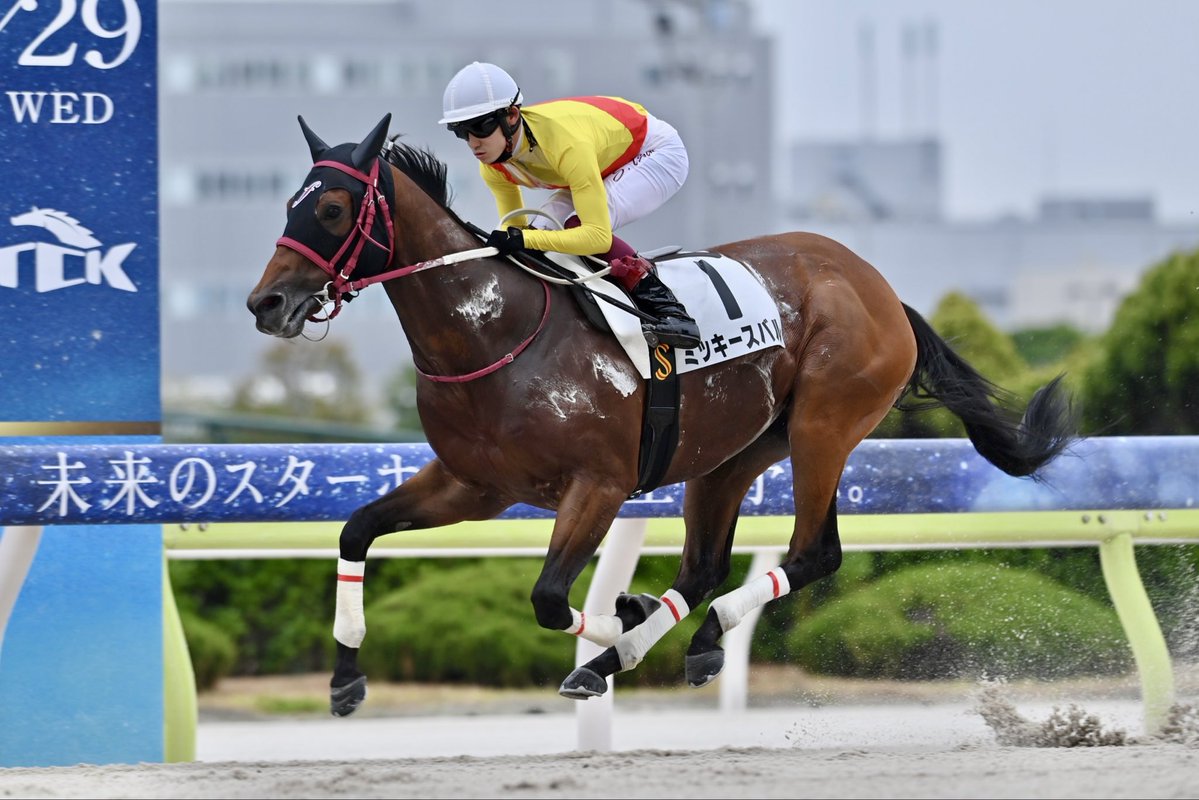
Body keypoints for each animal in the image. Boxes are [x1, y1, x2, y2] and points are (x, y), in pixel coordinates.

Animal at [246, 114, 1076, 716]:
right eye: (289, 204)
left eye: (331, 207)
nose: (266, 303)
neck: (492, 331)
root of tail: (878, 287)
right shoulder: (473, 485)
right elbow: (355, 530)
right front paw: (344, 677)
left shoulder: (599, 484)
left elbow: (549, 599)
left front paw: (621, 620)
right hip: (735, 451)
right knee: (707, 563)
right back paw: (670, 643)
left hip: (824, 426)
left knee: (813, 553)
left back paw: (668, 640)